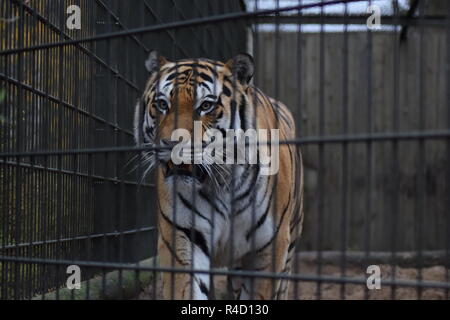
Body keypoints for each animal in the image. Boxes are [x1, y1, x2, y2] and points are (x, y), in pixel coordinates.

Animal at [133, 50, 302, 300]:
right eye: (162, 104)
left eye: (205, 106)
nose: (172, 143)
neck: (222, 181)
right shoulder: (183, 235)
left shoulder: (270, 246)